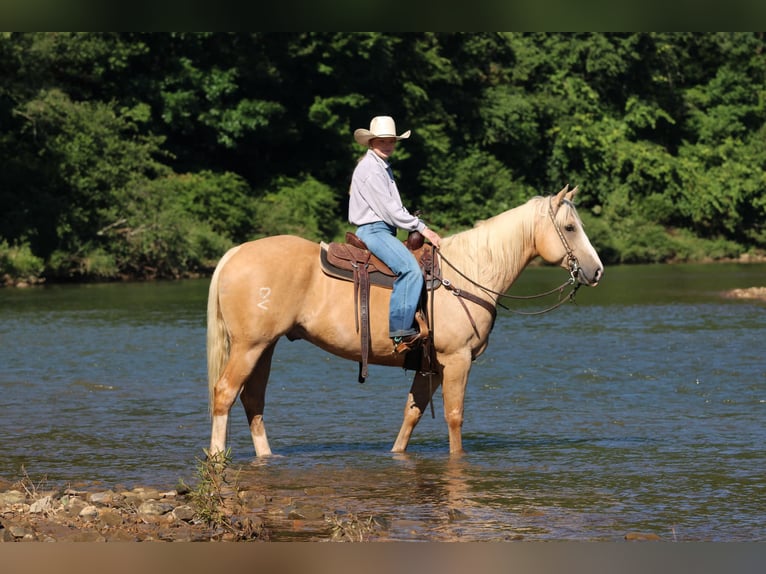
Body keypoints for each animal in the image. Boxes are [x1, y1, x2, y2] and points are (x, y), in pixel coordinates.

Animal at [206, 184, 603, 457]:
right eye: (570, 228)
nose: (596, 270)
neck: (469, 273)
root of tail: (235, 252)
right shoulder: (456, 360)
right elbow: (454, 416)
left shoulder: (431, 365)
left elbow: (411, 414)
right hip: (248, 347)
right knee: (224, 393)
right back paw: (216, 458)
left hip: (265, 347)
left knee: (252, 399)